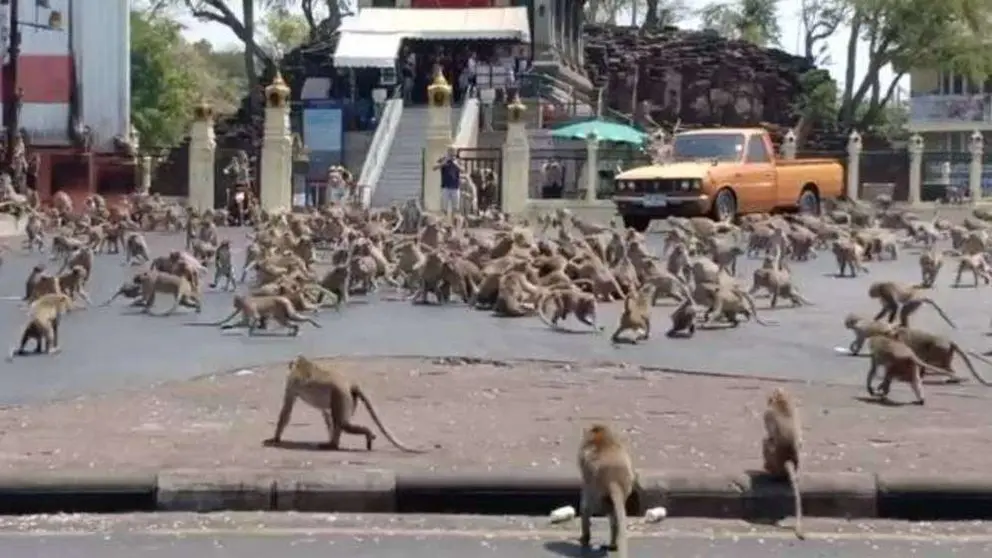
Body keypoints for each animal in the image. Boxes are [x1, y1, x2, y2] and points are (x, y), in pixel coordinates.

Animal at [264, 358, 426, 456]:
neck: (301, 364)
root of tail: (350, 383)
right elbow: (326, 414)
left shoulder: (291, 384)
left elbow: (286, 410)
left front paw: (275, 438)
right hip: (347, 398)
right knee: (338, 422)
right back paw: (333, 443)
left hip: (342, 395)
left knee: (343, 424)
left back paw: (361, 436)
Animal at [572, 424, 636, 558]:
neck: (601, 436)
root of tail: (614, 478)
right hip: (626, 487)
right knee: (613, 516)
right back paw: (613, 543)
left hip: (599, 492)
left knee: (588, 507)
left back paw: (586, 536)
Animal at [764, 390, 804, 544]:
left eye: (770, 398)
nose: (768, 400)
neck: (782, 400)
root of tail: (789, 459)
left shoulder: (768, 413)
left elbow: (769, 436)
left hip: (774, 463)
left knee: (767, 443)